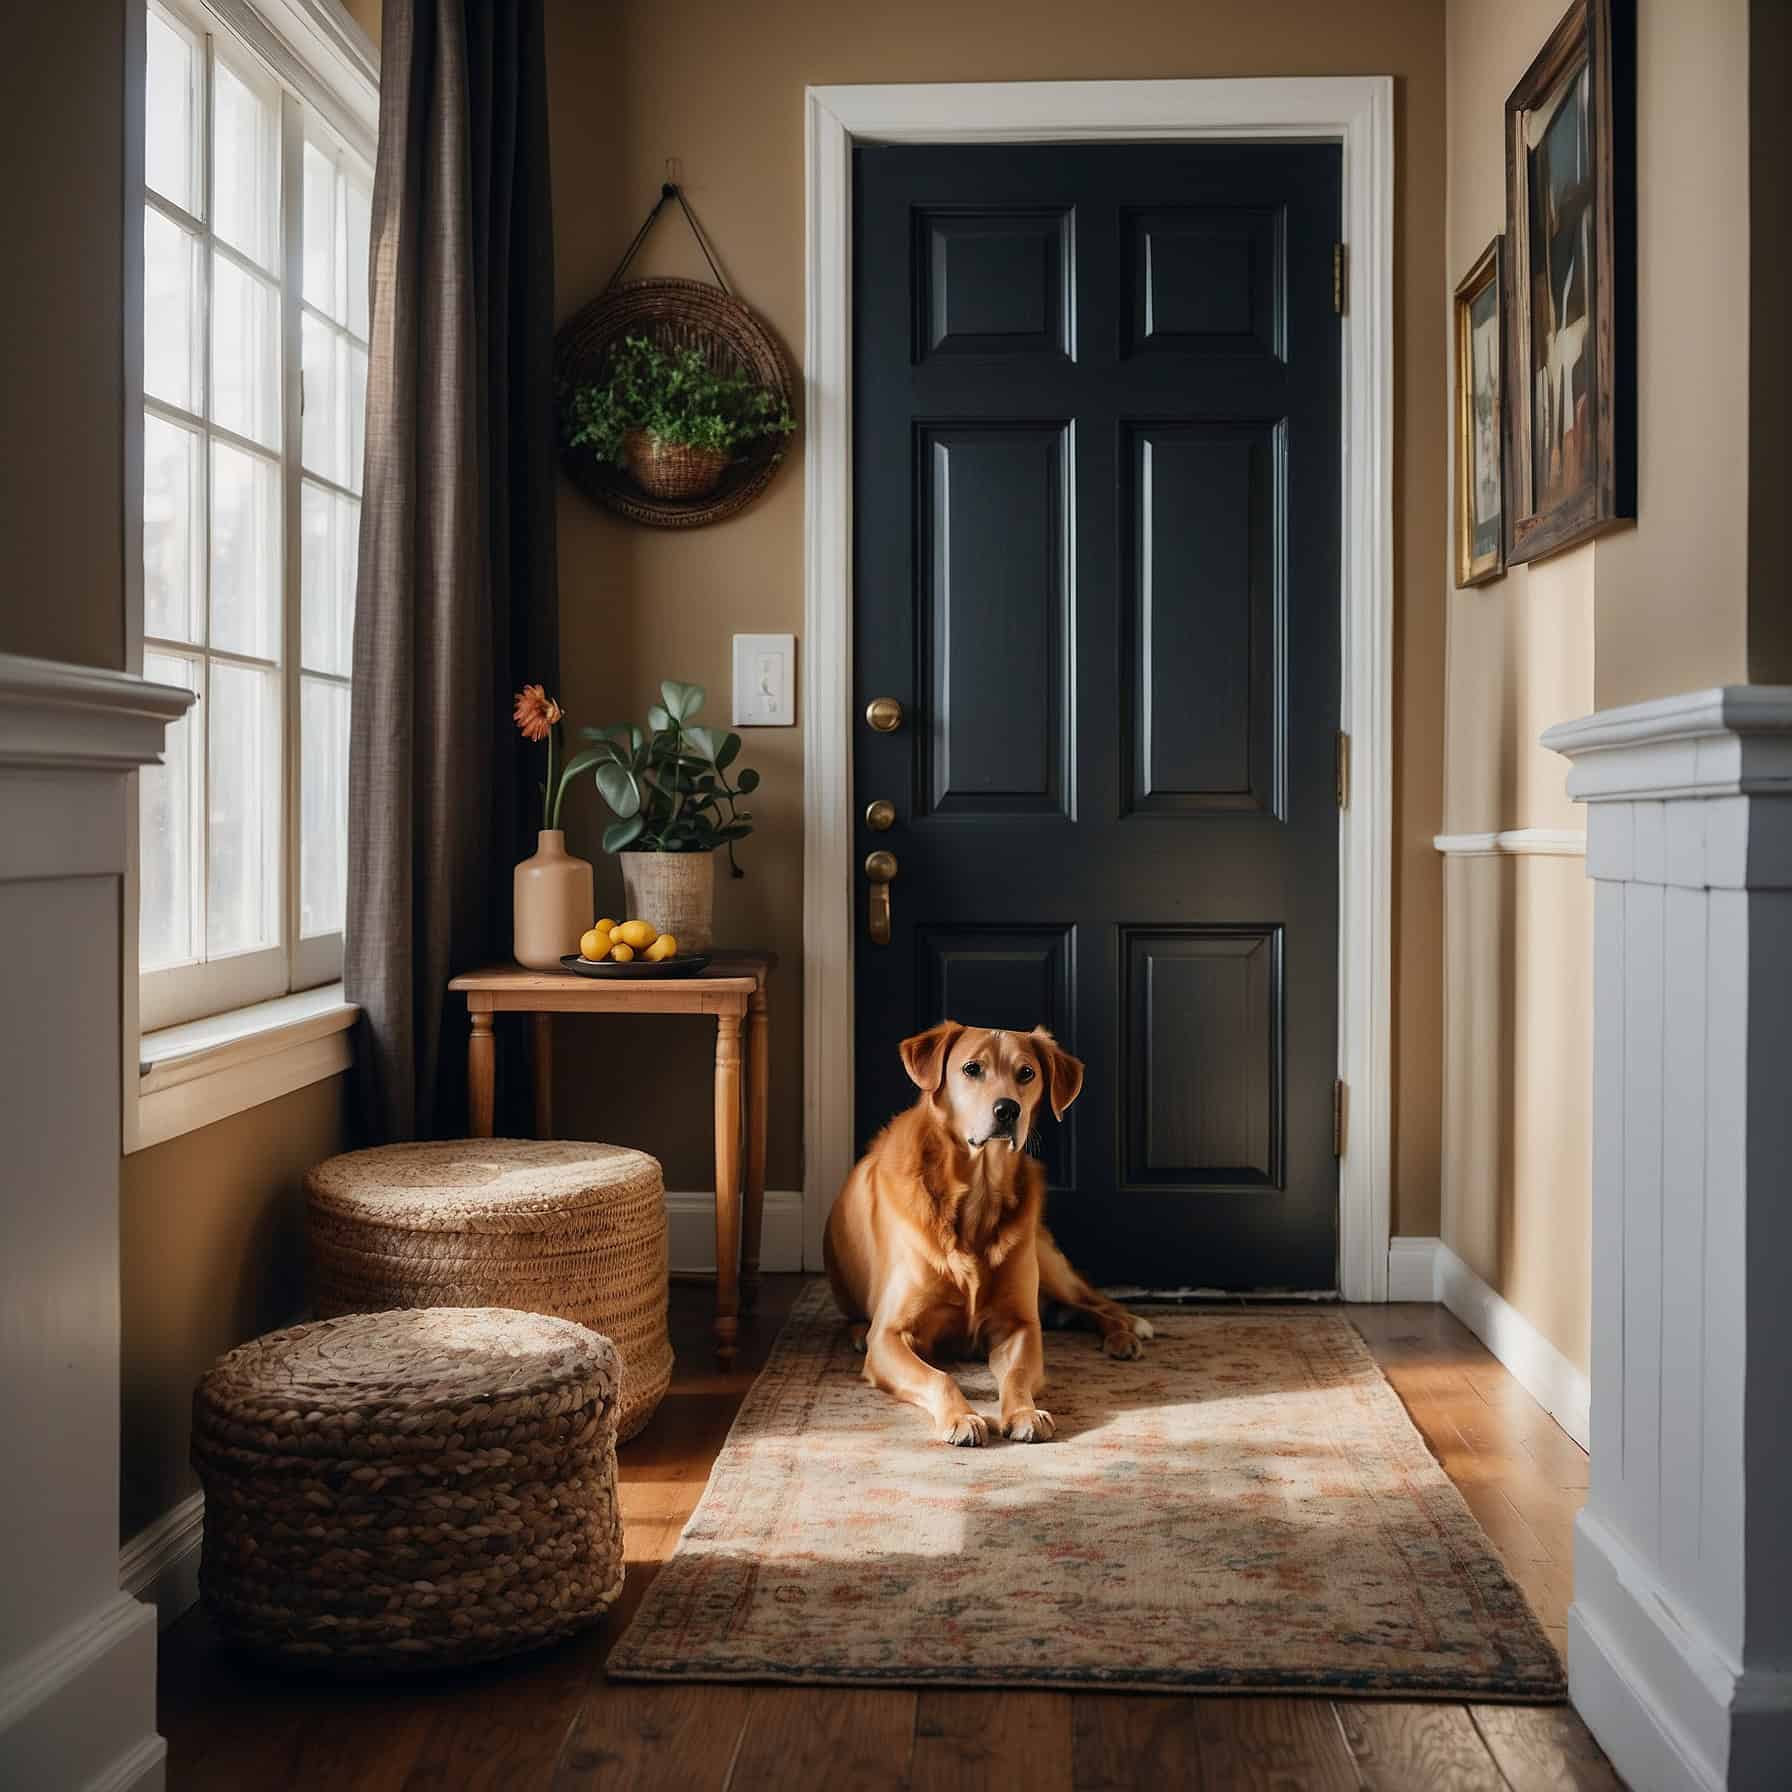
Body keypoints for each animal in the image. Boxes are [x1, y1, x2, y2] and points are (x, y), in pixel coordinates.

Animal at [820, 1025, 1154, 1440]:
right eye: (971, 1068)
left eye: (1026, 1073)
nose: (1007, 1109)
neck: (977, 1194)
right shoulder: (888, 1337)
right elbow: (940, 1377)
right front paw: (962, 1417)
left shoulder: (1020, 1326)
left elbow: (1018, 1373)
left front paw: (1024, 1412)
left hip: (1049, 1266)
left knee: (1095, 1303)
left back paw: (1126, 1331)